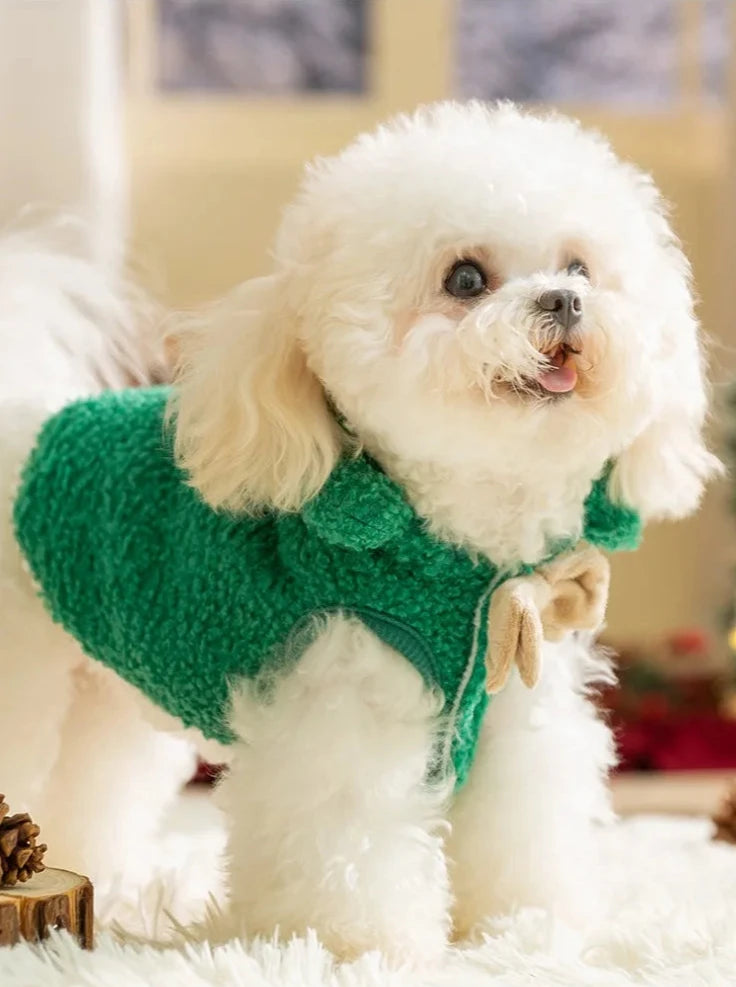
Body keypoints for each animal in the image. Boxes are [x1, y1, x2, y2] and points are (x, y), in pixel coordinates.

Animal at [0, 106, 720, 964]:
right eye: (465, 278)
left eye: (578, 265)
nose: (566, 301)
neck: (469, 566)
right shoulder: (341, 706)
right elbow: (350, 835)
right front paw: (360, 945)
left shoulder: (513, 708)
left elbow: (520, 822)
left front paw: (524, 925)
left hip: (99, 684)